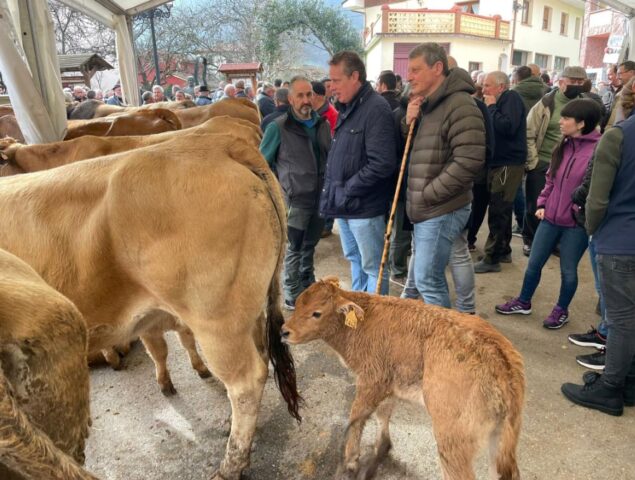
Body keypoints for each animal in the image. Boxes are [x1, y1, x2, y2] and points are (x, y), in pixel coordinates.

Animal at [284, 278, 528, 480]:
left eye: (316, 313)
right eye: (297, 303)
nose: (284, 331)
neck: (363, 323)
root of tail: (500, 359)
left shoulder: (371, 380)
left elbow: (357, 417)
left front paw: (351, 461)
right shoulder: (389, 382)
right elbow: (383, 413)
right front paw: (382, 447)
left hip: (452, 439)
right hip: (498, 439)